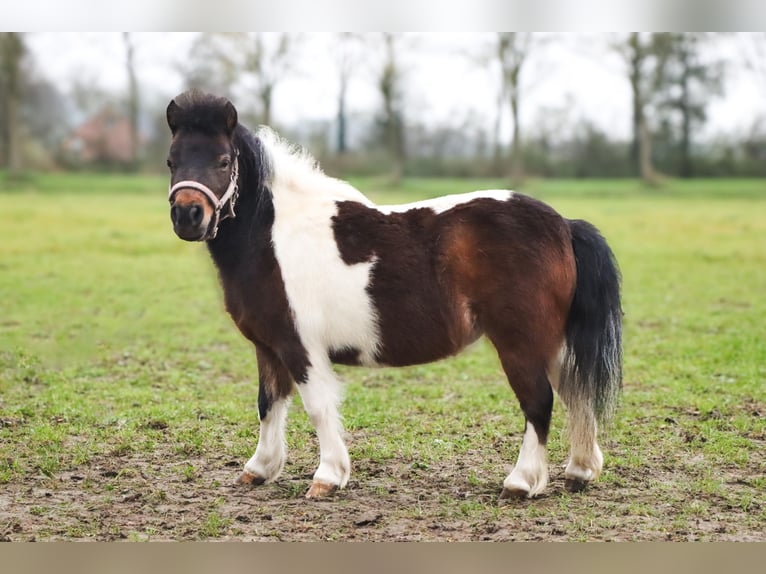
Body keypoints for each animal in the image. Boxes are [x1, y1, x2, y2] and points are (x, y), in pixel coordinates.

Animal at [165, 92, 620, 502]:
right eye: (171, 161)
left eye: (224, 161)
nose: (188, 216)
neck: (273, 236)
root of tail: (564, 224)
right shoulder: (269, 346)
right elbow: (268, 404)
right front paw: (259, 469)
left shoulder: (301, 347)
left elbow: (317, 407)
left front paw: (328, 477)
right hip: (552, 343)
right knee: (576, 393)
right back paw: (580, 472)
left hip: (520, 343)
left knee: (539, 402)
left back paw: (522, 483)